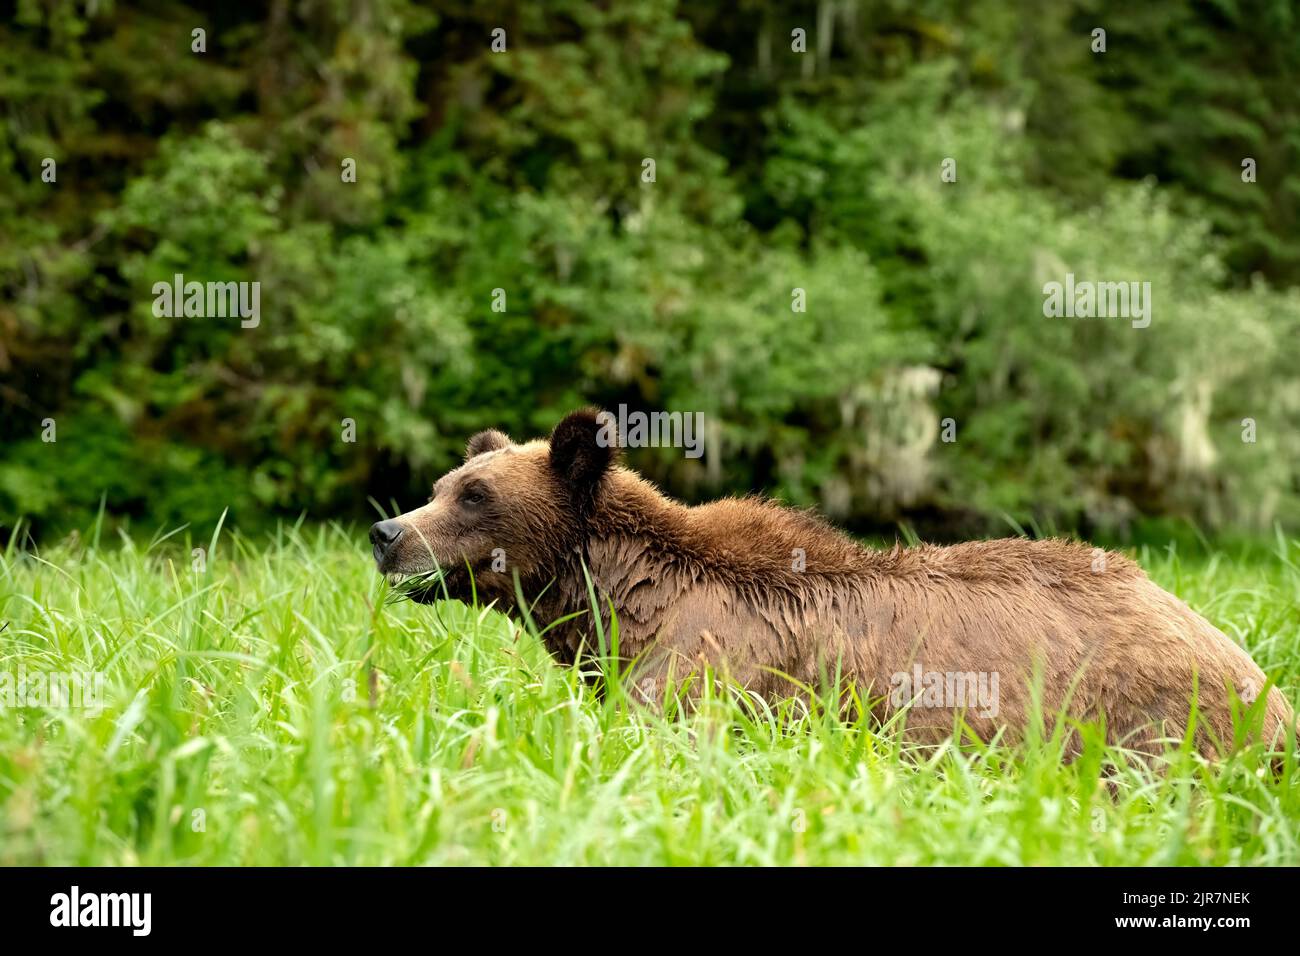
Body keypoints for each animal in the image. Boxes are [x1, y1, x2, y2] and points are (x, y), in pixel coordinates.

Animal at [371, 408, 1294, 759]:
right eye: (444, 481)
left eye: (476, 495)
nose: (387, 534)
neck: (624, 602)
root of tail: (1261, 678)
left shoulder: (713, 663)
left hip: (1143, 716)